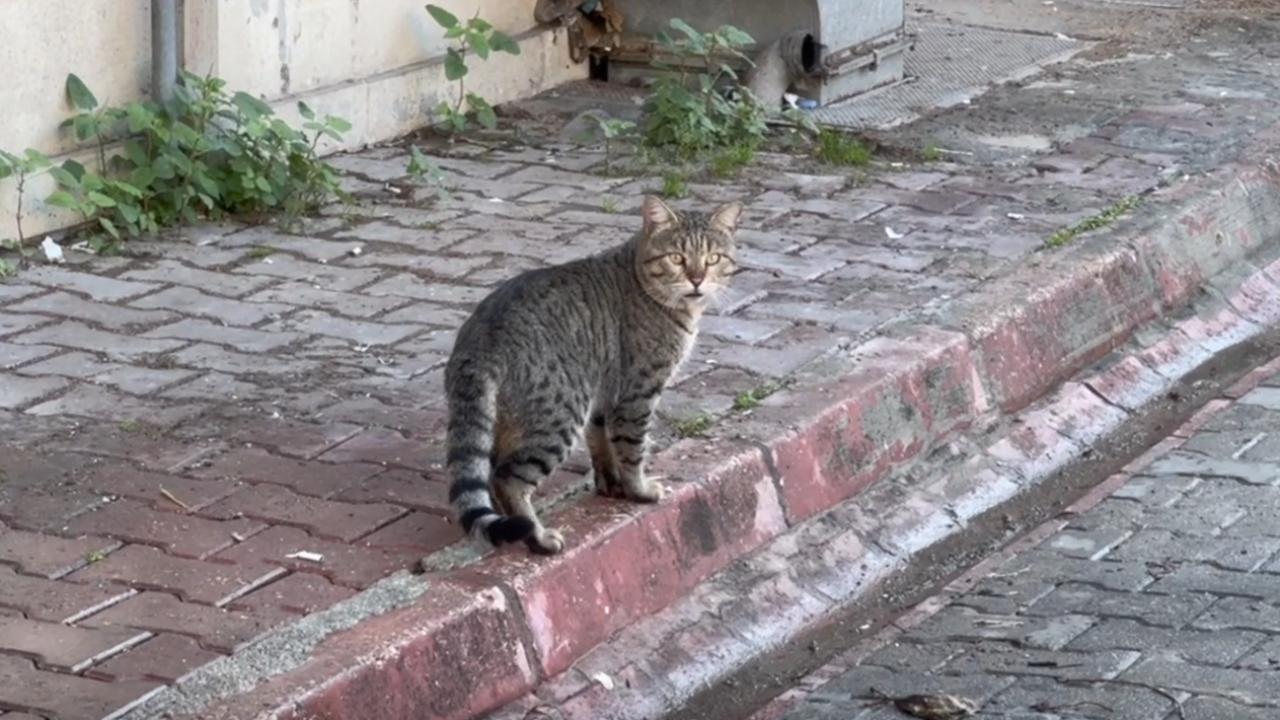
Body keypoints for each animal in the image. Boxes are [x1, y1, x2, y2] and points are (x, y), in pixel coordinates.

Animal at [445, 193, 742, 550]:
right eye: (676, 258)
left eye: (713, 258)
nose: (697, 279)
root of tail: (481, 340)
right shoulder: (638, 392)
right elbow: (632, 448)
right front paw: (639, 490)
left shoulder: (603, 394)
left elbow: (602, 442)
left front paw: (610, 484)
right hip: (560, 415)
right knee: (508, 479)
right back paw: (537, 537)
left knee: (491, 471)